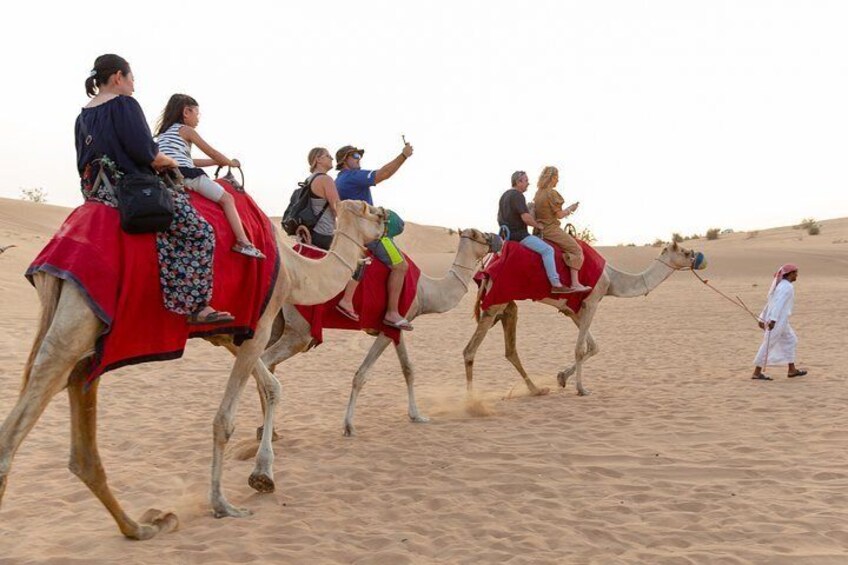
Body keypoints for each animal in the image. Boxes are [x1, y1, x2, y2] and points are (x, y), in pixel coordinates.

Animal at [0, 200, 384, 540]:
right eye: (370, 210)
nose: (386, 219)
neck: (295, 270)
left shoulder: (229, 332)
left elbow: (272, 385)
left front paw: (263, 474)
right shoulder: (260, 324)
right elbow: (224, 419)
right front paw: (223, 503)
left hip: (89, 342)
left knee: (81, 442)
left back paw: (144, 527)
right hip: (76, 323)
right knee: (13, 433)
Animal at [255, 226, 500, 436]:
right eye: (480, 235)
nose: (497, 237)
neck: (425, 291)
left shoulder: (398, 327)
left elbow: (408, 369)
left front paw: (417, 415)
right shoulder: (386, 328)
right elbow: (361, 374)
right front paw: (348, 426)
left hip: (276, 321)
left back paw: (268, 431)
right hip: (300, 330)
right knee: (265, 361)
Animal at [464, 242, 704, 396]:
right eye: (684, 252)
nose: (699, 259)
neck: (612, 279)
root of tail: (487, 263)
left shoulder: (574, 310)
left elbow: (594, 346)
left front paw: (562, 377)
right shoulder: (592, 301)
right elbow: (580, 349)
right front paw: (581, 389)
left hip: (506, 305)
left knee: (509, 350)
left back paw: (536, 390)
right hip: (497, 301)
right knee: (470, 350)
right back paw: (473, 403)